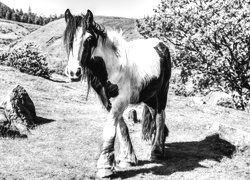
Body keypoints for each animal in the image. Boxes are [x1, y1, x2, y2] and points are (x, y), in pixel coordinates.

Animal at [63, 9, 171, 178]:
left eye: (88, 38)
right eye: (68, 37)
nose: (74, 72)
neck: (112, 66)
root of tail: (161, 45)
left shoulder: (121, 100)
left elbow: (110, 128)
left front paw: (104, 167)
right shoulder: (107, 101)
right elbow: (121, 127)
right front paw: (127, 158)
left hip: (162, 91)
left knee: (160, 116)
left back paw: (157, 152)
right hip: (149, 96)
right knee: (155, 114)